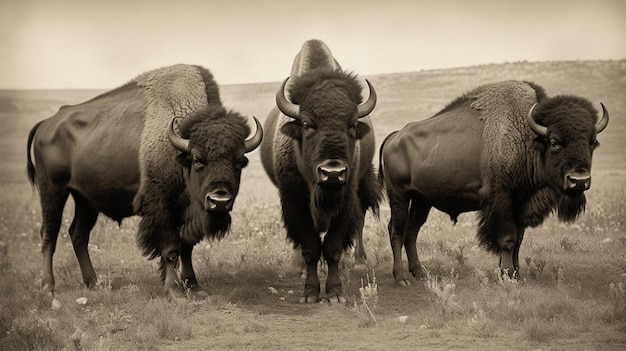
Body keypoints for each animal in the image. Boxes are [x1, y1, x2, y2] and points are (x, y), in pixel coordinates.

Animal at [26, 64, 260, 298]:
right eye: (197, 159)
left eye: (240, 161)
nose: (219, 201)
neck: (179, 151)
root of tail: (46, 124)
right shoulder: (161, 206)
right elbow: (171, 248)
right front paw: (174, 291)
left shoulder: (186, 212)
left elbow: (187, 247)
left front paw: (194, 285)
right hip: (53, 191)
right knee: (49, 234)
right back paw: (48, 286)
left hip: (85, 200)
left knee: (78, 235)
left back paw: (94, 282)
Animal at [260, 40, 380, 304]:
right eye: (306, 124)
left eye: (352, 125)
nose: (332, 172)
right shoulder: (294, 201)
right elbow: (310, 247)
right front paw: (310, 293)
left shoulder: (346, 199)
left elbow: (333, 247)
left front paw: (335, 294)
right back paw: (296, 267)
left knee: (360, 221)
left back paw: (358, 261)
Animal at [378, 81, 608, 288]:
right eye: (554, 142)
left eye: (592, 142)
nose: (579, 180)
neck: (526, 136)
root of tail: (394, 137)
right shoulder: (502, 200)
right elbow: (508, 239)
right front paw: (506, 274)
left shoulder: (520, 203)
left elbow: (518, 240)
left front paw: (516, 274)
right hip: (399, 196)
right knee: (397, 230)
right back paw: (401, 278)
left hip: (422, 200)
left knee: (412, 231)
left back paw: (420, 273)